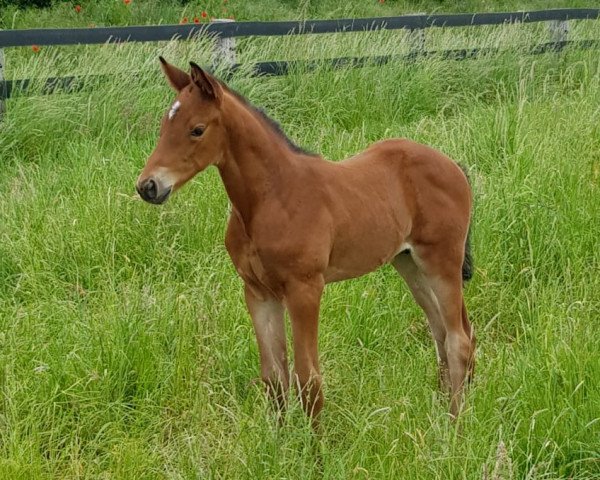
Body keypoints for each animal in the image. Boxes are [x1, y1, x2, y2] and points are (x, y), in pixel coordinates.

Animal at [137, 58, 478, 422]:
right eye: (164, 126)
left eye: (197, 129)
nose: (148, 186)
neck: (271, 197)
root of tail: (453, 166)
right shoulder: (258, 292)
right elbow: (274, 377)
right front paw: (278, 437)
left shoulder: (305, 289)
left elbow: (308, 377)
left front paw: (314, 440)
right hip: (409, 263)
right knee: (445, 332)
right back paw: (441, 412)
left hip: (442, 260)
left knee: (457, 340)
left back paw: (454, 423)